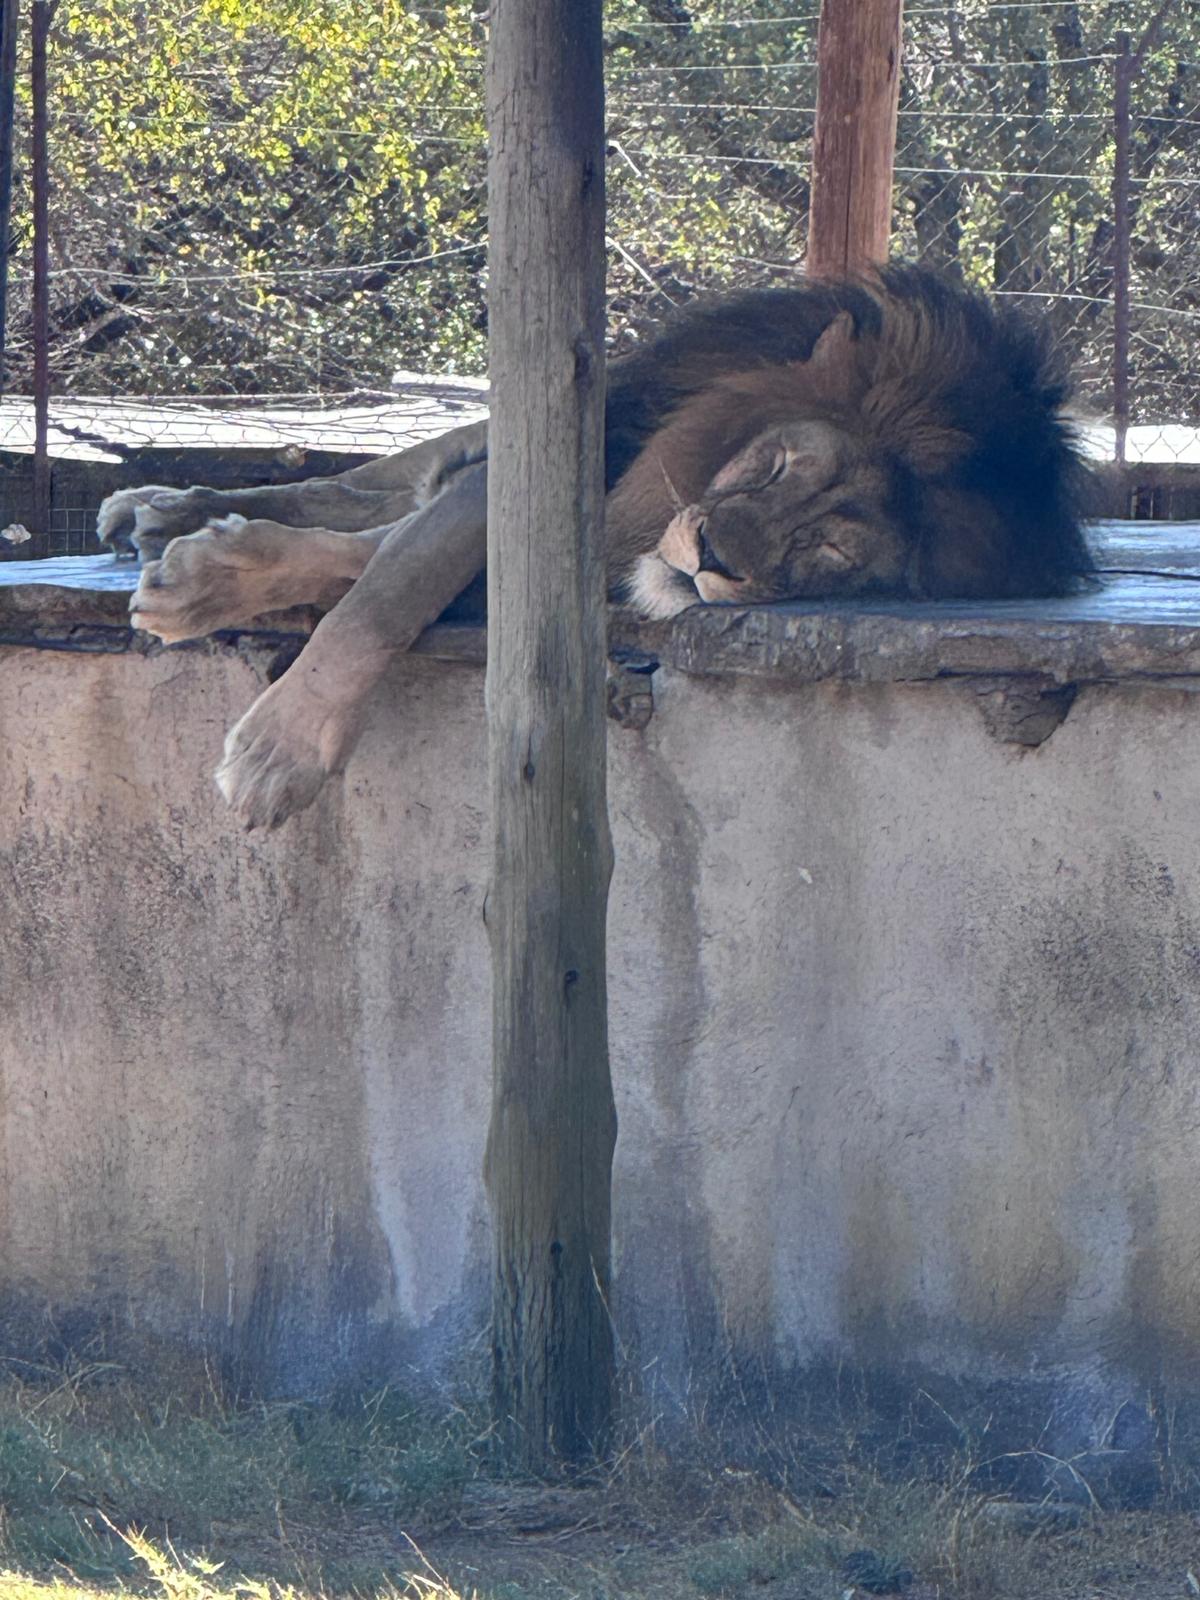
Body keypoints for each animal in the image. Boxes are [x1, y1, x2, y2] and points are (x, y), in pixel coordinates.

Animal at [98, 265, 1093, 829]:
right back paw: (159, 505)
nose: (710, 559)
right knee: (355, 484)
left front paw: (204, 583)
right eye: (776, 467)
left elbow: (374, 569)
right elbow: (385, 587)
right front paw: (275, 748)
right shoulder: (541, 470)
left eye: (829, 554)